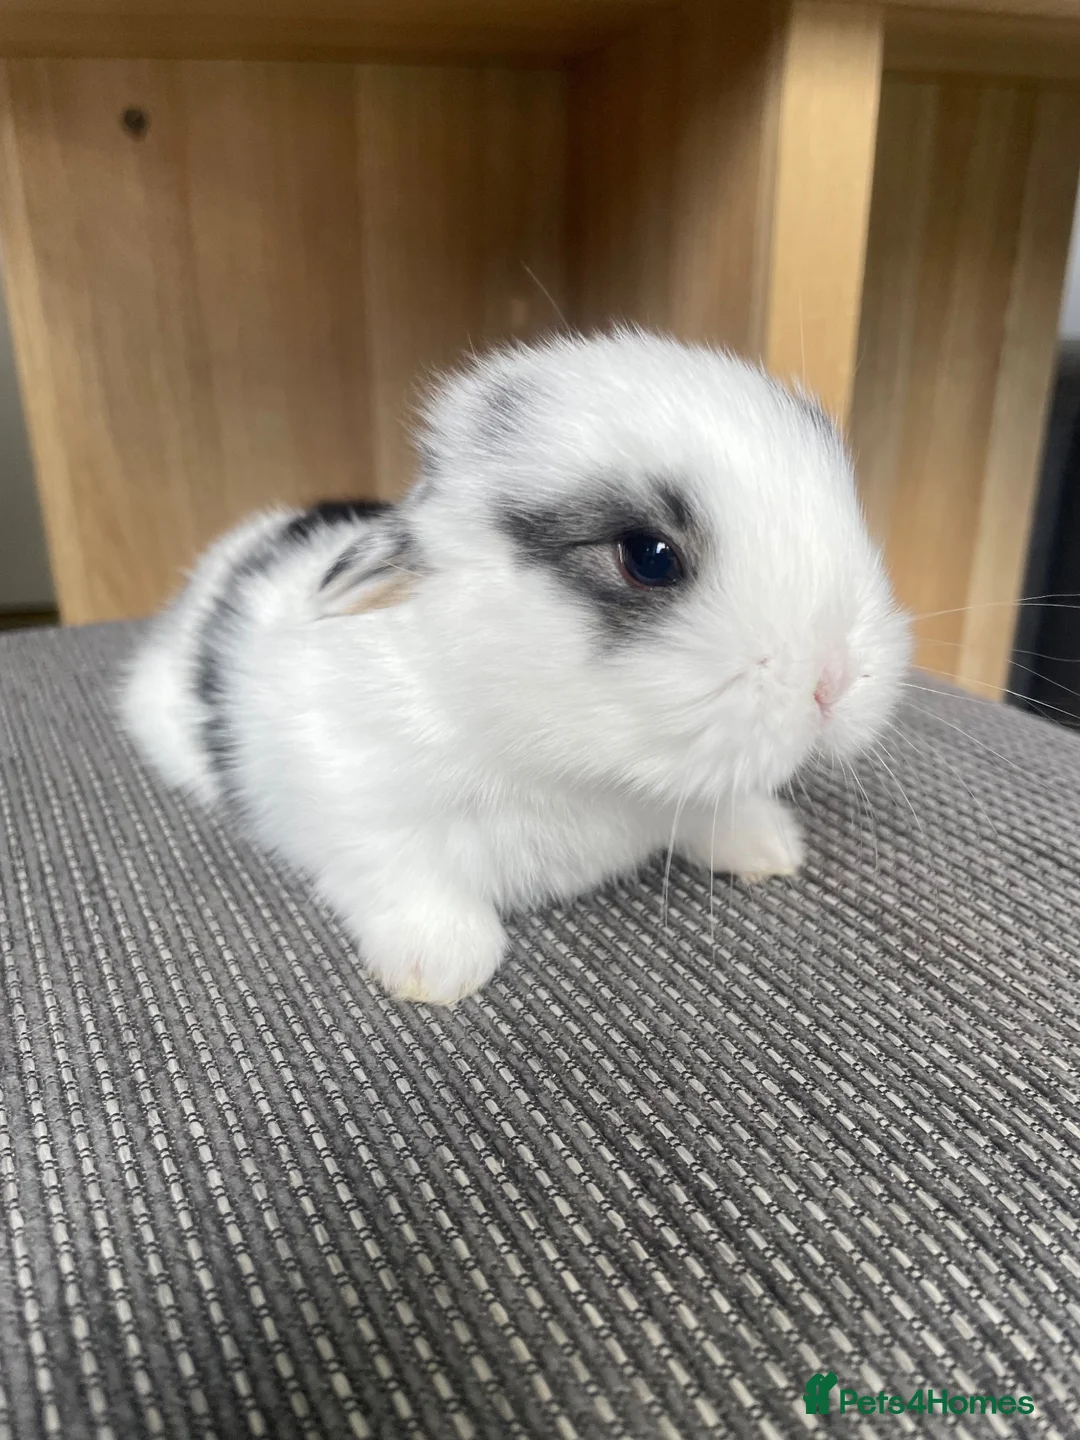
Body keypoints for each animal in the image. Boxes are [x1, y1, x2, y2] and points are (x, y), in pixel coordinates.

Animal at [121, 330, 912, 1004]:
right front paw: (438, 968)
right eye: (649, 557)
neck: (583, 769)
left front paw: (766, 846)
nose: (834, 680)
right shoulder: (356, 800)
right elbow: (400, 875)